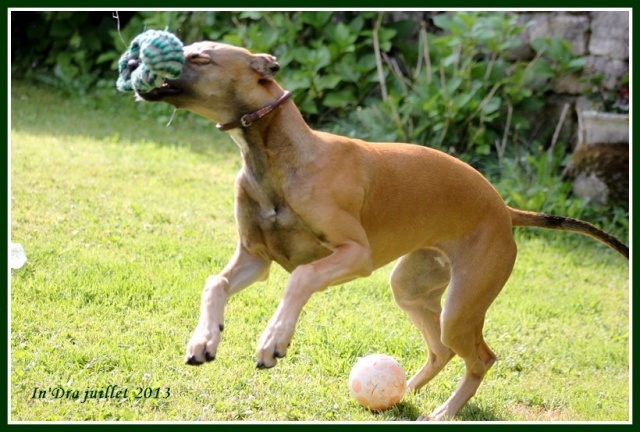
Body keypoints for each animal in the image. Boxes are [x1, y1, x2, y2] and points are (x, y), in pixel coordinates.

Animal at [134, 41, 629, 420]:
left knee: (480, 357)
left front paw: (274, 340)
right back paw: (405, 391)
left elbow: (300, 278)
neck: (282, 155)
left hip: (462, 302)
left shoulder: (354, 255)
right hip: (412, 287)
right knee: (441, 349)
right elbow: (214, 282)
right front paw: (204, 338)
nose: (137, 57)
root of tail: (505, 210)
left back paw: (445, 411)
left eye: (199, 57)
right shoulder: (254, 259)